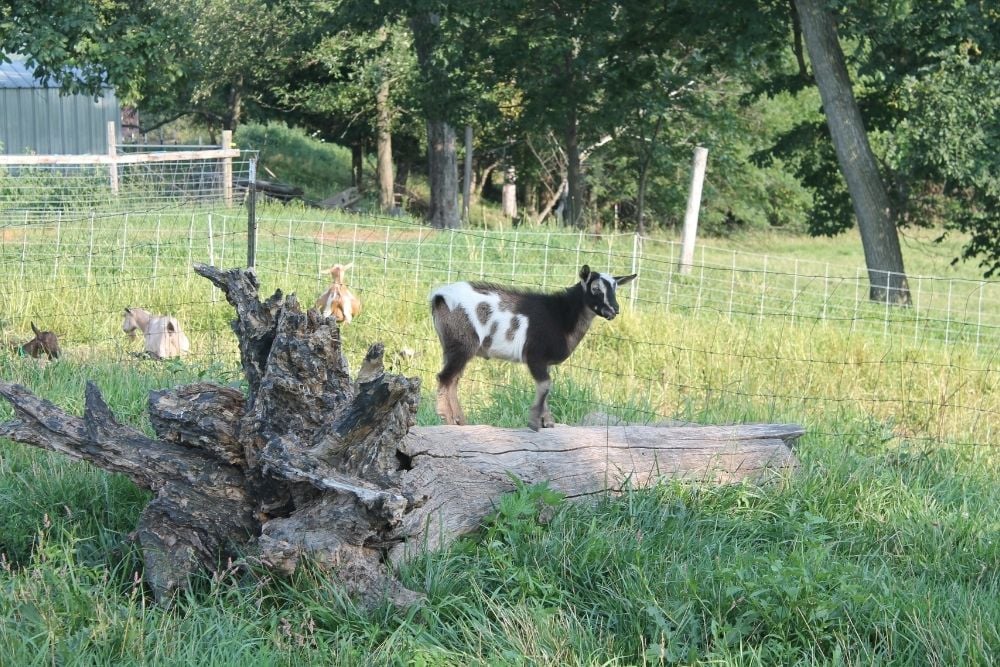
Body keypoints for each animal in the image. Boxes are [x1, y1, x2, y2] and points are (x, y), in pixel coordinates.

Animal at [430, 264, 636, 431]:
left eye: (615, 288)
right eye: (595, 289)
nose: (614, 310)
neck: (561, 315)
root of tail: (440, 296)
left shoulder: (545, 362)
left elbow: (546, 388)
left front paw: (547, 422)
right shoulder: (535, 355)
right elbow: (545, 385)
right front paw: (536, 422)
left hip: (451, 346)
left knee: (453, 379)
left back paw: (461, 421)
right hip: (462, 343)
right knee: (445, 377)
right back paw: (448, 419)